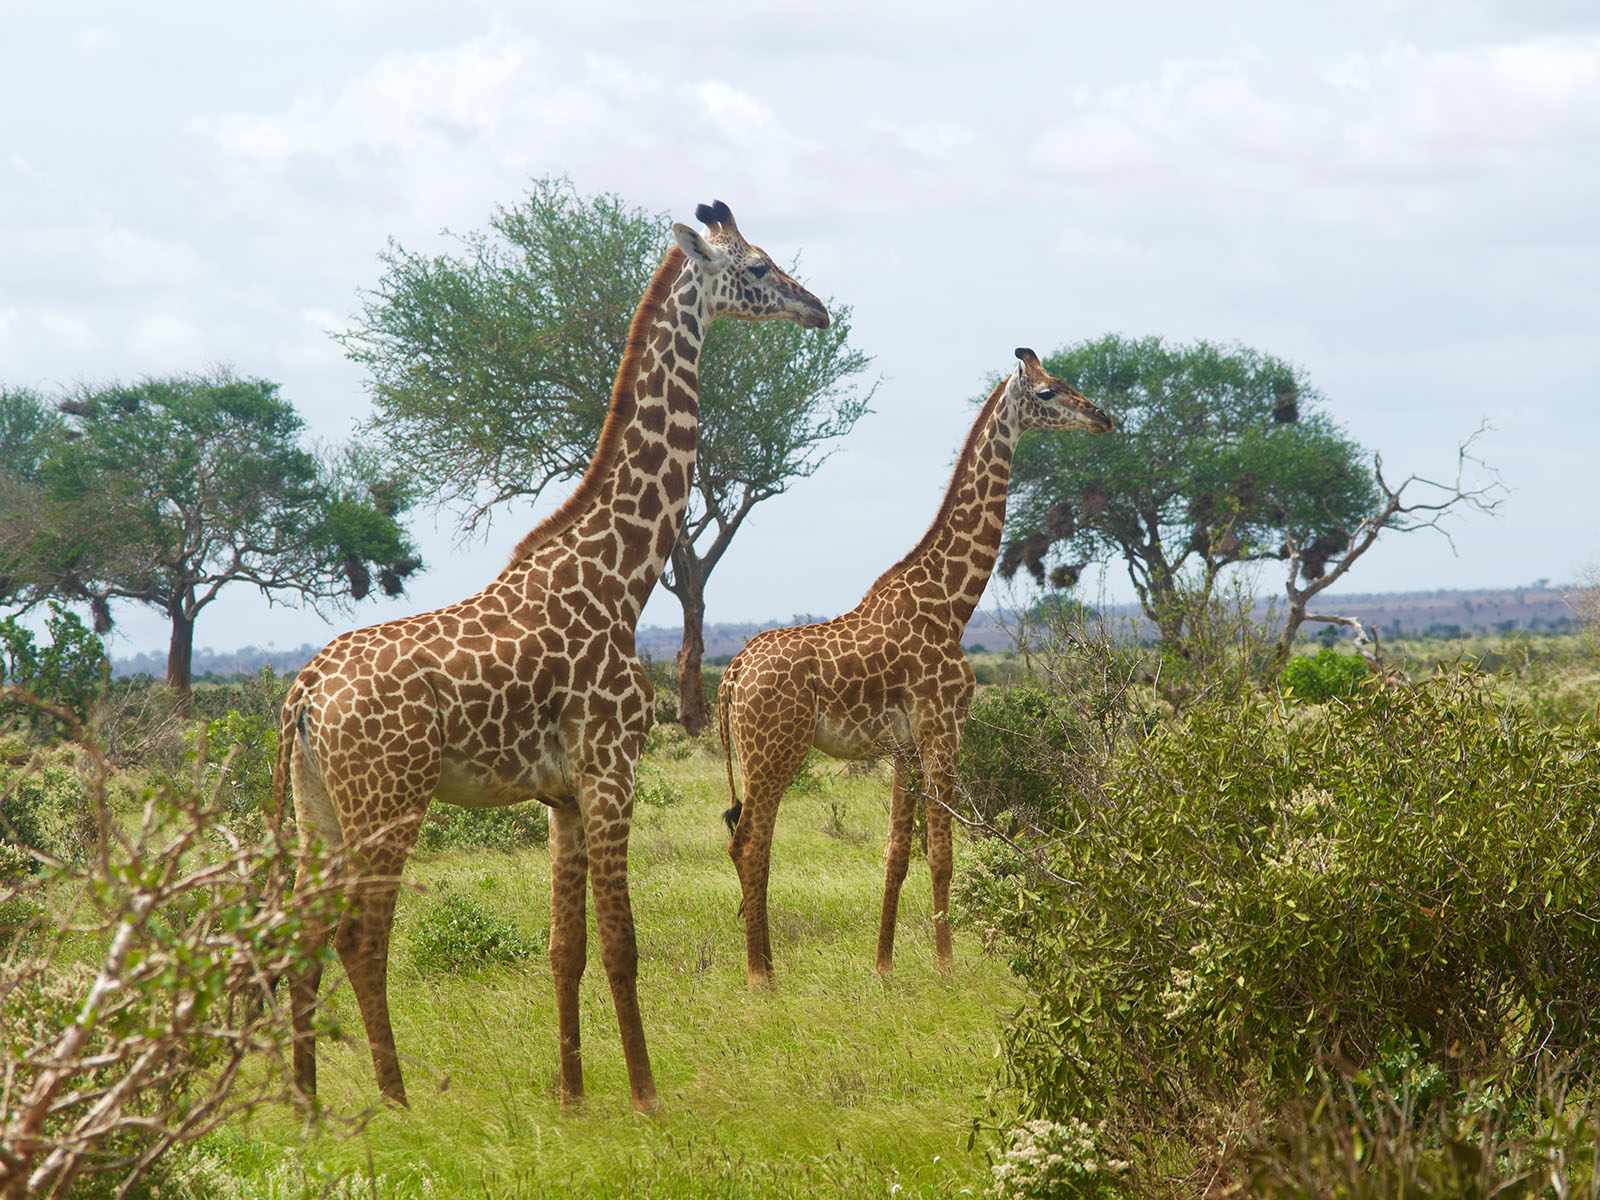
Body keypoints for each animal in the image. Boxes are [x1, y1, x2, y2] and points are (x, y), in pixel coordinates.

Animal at [273, 202, 825, 1113]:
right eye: (758, 266)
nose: (817, 309)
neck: (621, 578)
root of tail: (305, 697)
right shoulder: (611, 769)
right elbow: (622, 945)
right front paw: (645, 1094)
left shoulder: (561, 795)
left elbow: (565, 950)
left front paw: (571, 1094)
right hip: (388, 797)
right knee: (360, 936)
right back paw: (396, 1104)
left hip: (315, 806)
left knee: (303, 934)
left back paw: (307, 1105)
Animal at [716, 350, 1107, 985]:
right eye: (1048, 392)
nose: (1103, 417)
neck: (952, 603)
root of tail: (729, 678)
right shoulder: (943, 727)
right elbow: (943, 851)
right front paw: (948, 966)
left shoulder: (902, 744)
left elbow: (896, 853)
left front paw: (883, 967)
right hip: (776, 749)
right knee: (750, 842)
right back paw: (760, 978)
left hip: (759, 754)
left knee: (750, 843)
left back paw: (768, 967)